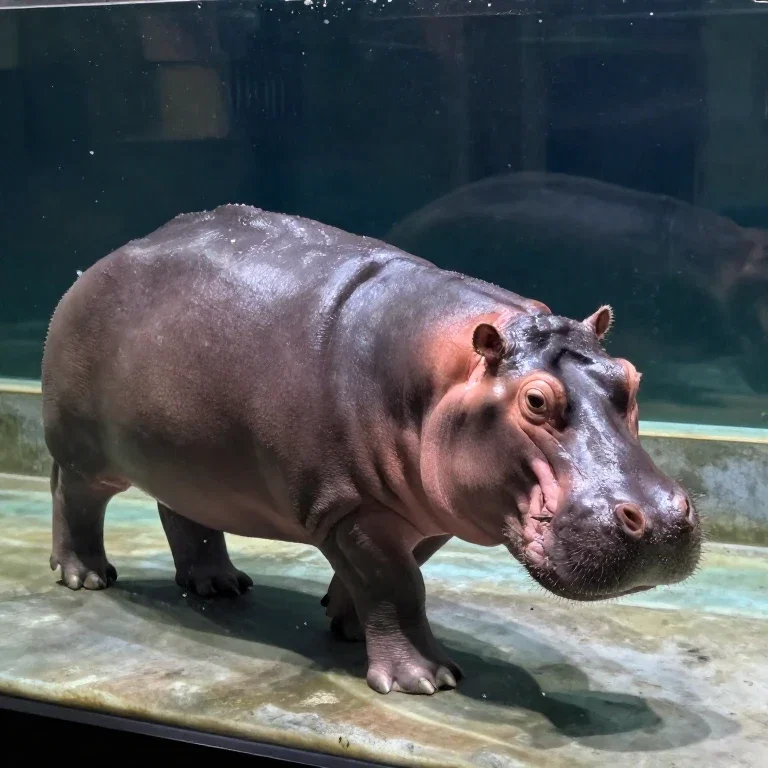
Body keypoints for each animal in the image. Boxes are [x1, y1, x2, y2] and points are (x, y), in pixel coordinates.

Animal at [42, 205, 702, 695]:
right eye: (535, 401)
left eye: (631, 376)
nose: (663, 520)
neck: (441, 374)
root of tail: (100, 261)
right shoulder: (351, 506)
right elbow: (397, 582)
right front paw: (425, 680)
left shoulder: (429, 508)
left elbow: (396, 572)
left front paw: (347, 621)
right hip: (83, 450)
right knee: (73, 497)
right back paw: (86, 576)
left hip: (187, 457)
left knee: (186, 514)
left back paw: (219, 585)